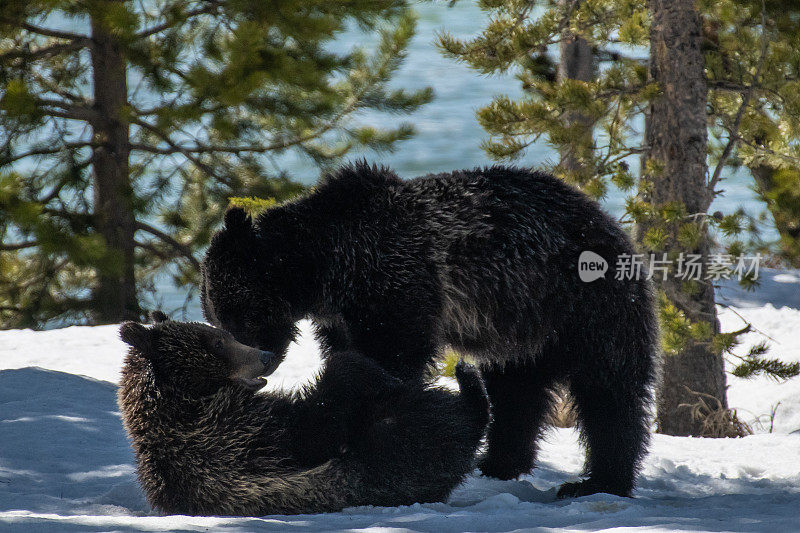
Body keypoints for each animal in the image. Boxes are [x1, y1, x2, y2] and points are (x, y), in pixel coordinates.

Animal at [202, 162, 656, 498]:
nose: (261, 362)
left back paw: (599, 480)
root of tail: (608, 220)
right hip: (521, 327)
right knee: (517, 390)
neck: (324, 270)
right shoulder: (341, 318)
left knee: (607, 388)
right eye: (219, 320)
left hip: (582, 305)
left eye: (239, 316)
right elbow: (349, 362)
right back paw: (500, 461)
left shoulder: (393, 285)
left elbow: (391, 359)